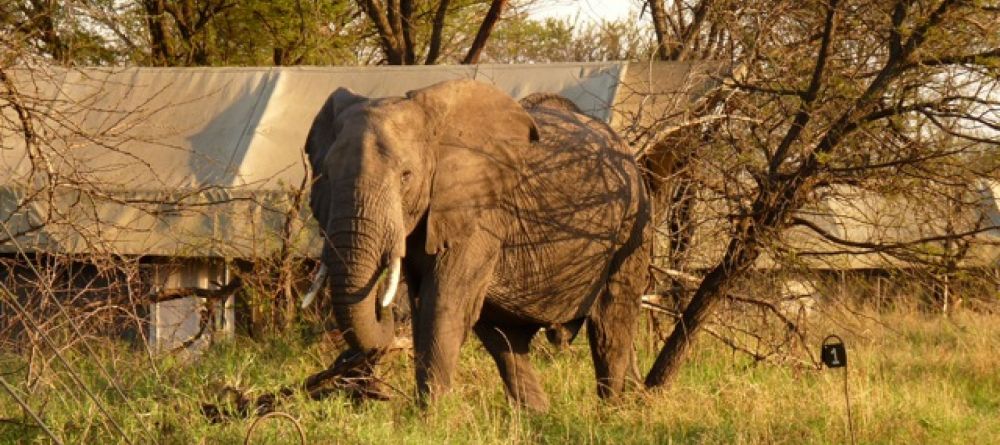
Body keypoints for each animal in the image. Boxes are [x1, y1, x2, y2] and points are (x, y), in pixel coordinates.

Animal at [304, 79, 648, 410]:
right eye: (325, 176)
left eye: (406, 176)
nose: (381, 307)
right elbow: (423, 308)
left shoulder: (479, 213)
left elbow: (442, 304)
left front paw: (429, 418)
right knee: (505, 340)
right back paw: (537, 417)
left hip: (634, 217)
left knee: (610, 323)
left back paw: (611, 411)